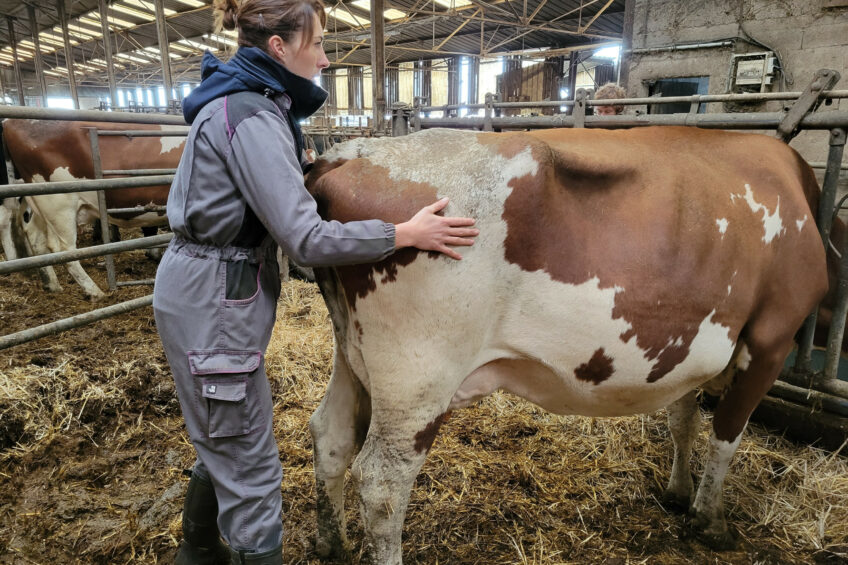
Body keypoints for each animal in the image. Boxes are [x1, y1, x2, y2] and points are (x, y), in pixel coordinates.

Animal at [2, 119, 182, 300]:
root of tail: (11, 122)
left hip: (40, 204)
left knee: (36, 237)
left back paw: (52, 284)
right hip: (59, 204)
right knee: (65, 250)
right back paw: (95, 291)